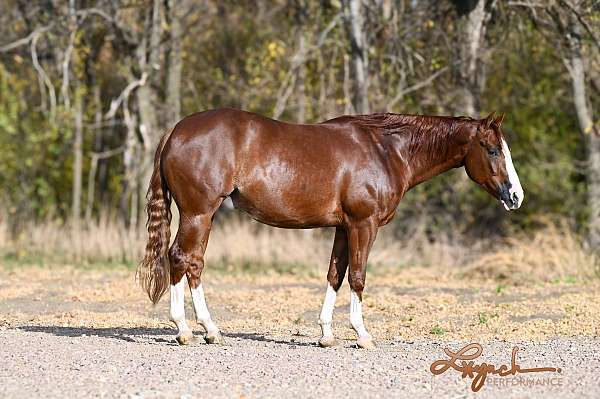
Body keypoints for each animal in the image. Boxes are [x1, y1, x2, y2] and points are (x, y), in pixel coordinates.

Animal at [138, 109, 524, 350]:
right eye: (492, 150)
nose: (516, 196)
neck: (386, 150)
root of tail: (176, 130)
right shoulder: (363, 225)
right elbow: (358, 277)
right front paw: (362, 334)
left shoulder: (343, 227)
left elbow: (335, 274)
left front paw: (326, 334)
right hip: (198, 213)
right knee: (180, 258)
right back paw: (185, 330)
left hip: (206, 216)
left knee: (193, 263)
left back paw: (210, 330)